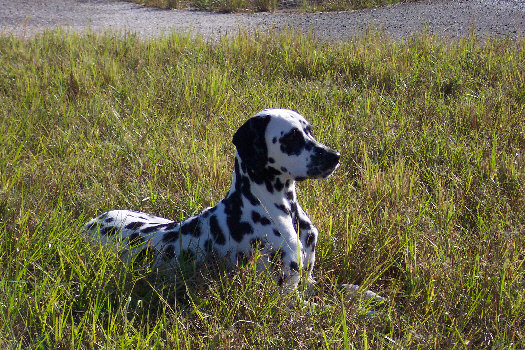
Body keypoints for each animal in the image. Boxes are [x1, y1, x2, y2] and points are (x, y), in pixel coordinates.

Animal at [84, 108, 382, 302]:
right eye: (291, 138)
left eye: (310, 131)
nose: (334, 156)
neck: (281, 210)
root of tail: (89, 225)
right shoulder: (286, 296)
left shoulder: (308, 281)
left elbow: (339, 289)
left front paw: (366, 295)